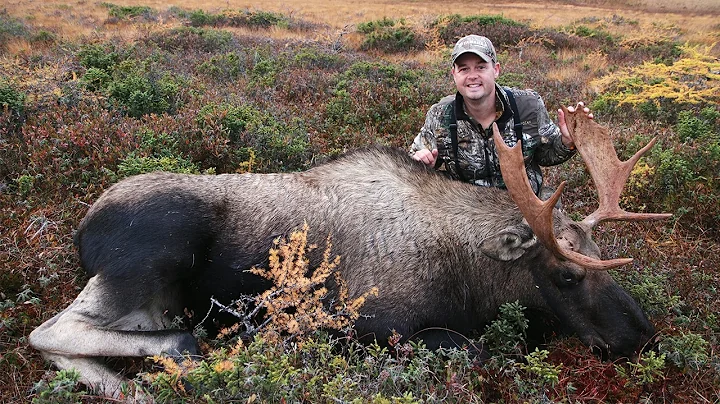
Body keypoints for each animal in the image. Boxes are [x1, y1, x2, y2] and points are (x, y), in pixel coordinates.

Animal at [29, 107, 670, 400]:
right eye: (565, 275)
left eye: (601, 251)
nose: (643, 336)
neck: (473, 278)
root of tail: (81, 229)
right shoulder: (373, 329)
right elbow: (473, 351)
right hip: (146, 263)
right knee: (51, 330)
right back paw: (177, 357)